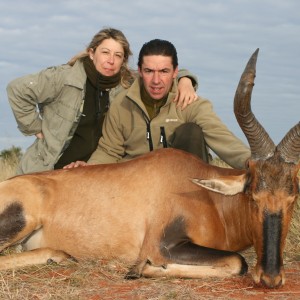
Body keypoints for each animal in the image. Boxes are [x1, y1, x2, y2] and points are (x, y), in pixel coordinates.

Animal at [0, 49, 298, 288]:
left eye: (292, 198)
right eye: (253, 197)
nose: (271, 278)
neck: (208, 197)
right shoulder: (161, 244)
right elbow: (237, 262)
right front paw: (142, 269)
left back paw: (58, 256)